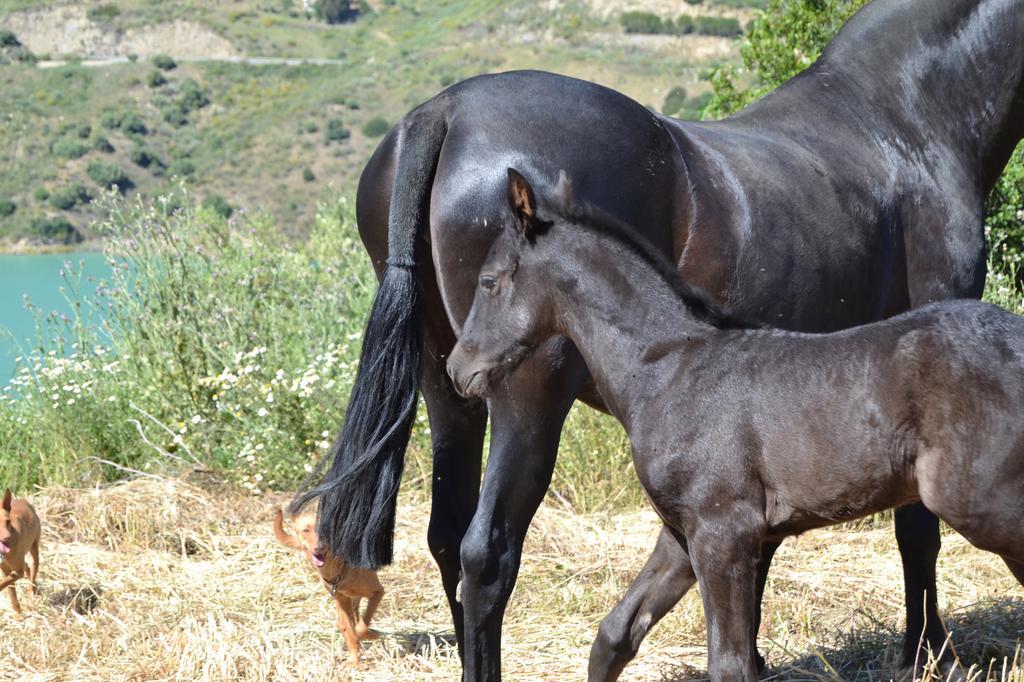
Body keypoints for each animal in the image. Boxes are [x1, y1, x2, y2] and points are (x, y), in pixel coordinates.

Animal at [0, 485, 40, 614]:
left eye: (7, 521)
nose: (7, 538)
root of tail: (23, 500)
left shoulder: (18, 571)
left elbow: (2, 584)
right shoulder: (5, 571)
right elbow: (11, 593)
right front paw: (18, 613)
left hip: (34, 549)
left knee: (33, 569)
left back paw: (32, 591)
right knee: (27, 567)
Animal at [272, 507, 385, 659]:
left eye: (326, 530)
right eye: (305, 530)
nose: (318, 548)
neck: (340, 569)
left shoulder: (378, 592)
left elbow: (361, 627)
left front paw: (372, 635)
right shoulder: (342, 600)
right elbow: (352, 632)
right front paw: (354, 660)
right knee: (345, 623)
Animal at [448, 168, 1024, 675]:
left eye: (489, 282)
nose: (458, 369)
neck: (664, 369)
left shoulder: (724, 533)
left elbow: (729, 663)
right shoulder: (681, 534)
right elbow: (614, 637)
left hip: (981, 503)